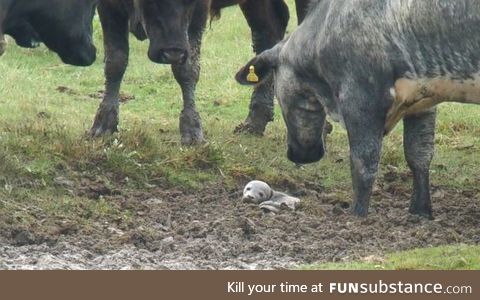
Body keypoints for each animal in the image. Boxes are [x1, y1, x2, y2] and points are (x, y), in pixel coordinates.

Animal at [236, 0, 480, 220]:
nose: (299, 154)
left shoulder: (360, 98)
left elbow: (363, 163)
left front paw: (357, 216)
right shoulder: (422, 97)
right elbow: (419, 154)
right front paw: (419, 212)